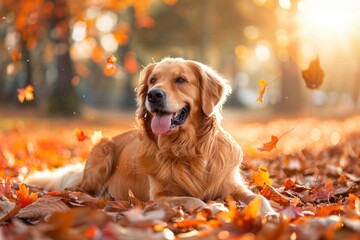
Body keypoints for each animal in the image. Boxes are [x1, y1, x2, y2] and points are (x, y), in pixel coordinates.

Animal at [26, 58, 276, 216]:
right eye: (153, 80)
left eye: (180, 80)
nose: (154, 95)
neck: (188, 148)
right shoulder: (159, 197)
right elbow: (192, 199)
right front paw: (214, 207)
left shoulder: (231, 185)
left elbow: (259, 198)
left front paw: (271, 213)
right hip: (103, 151)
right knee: (80, 190)